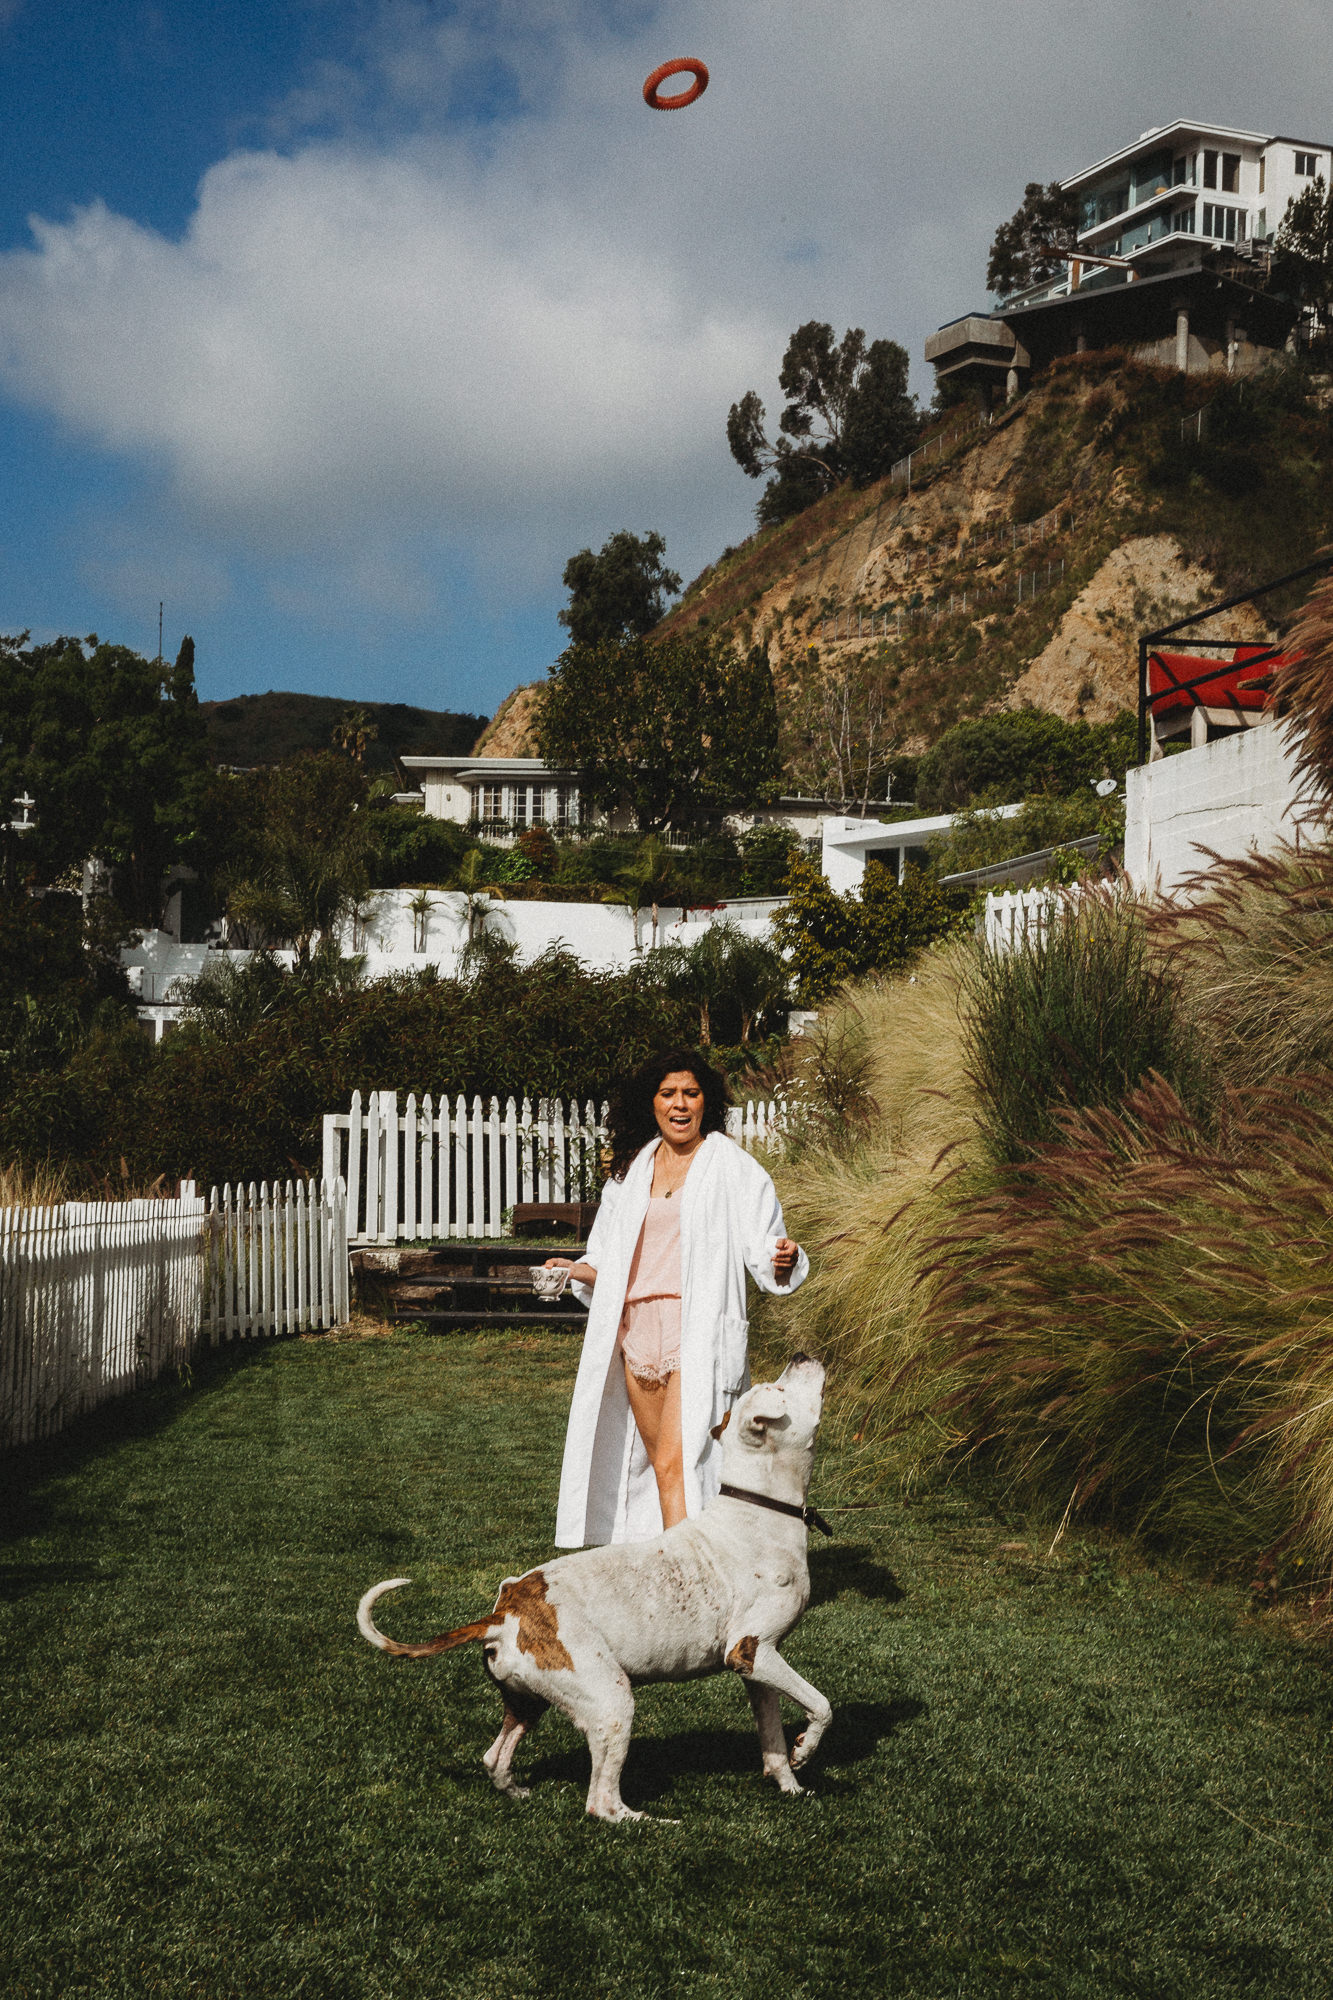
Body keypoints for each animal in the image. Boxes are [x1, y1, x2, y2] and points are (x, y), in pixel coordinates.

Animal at [358, 1352, 824, 1824]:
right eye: (779, 1389)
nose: (801, 1356)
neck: (760, 1510)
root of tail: (506, 1614)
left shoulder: (761, 1670)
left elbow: (773, 1742)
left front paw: (791, 1783)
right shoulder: (751, 1652)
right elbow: (821, 1705)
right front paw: (807, 1748)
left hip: (530, 1702)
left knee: (495, 1756)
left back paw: (516, 1790)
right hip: (612, 1704)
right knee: (601, 1802)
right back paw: (649, 1822)